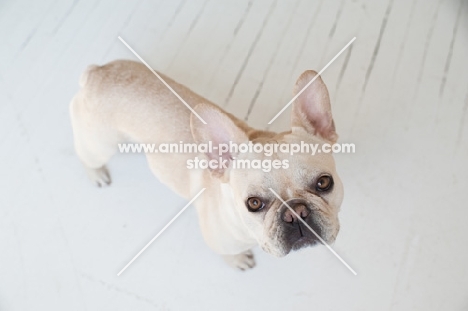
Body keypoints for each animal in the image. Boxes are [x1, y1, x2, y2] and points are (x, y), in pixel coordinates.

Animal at [71, 59, 346, 270]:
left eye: (324, 183)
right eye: (254, 204)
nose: (295, 212)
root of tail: (96, 73)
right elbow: (228, 255)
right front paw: (238, 260)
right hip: (100, 144)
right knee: (86, 155)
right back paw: (96, 174)